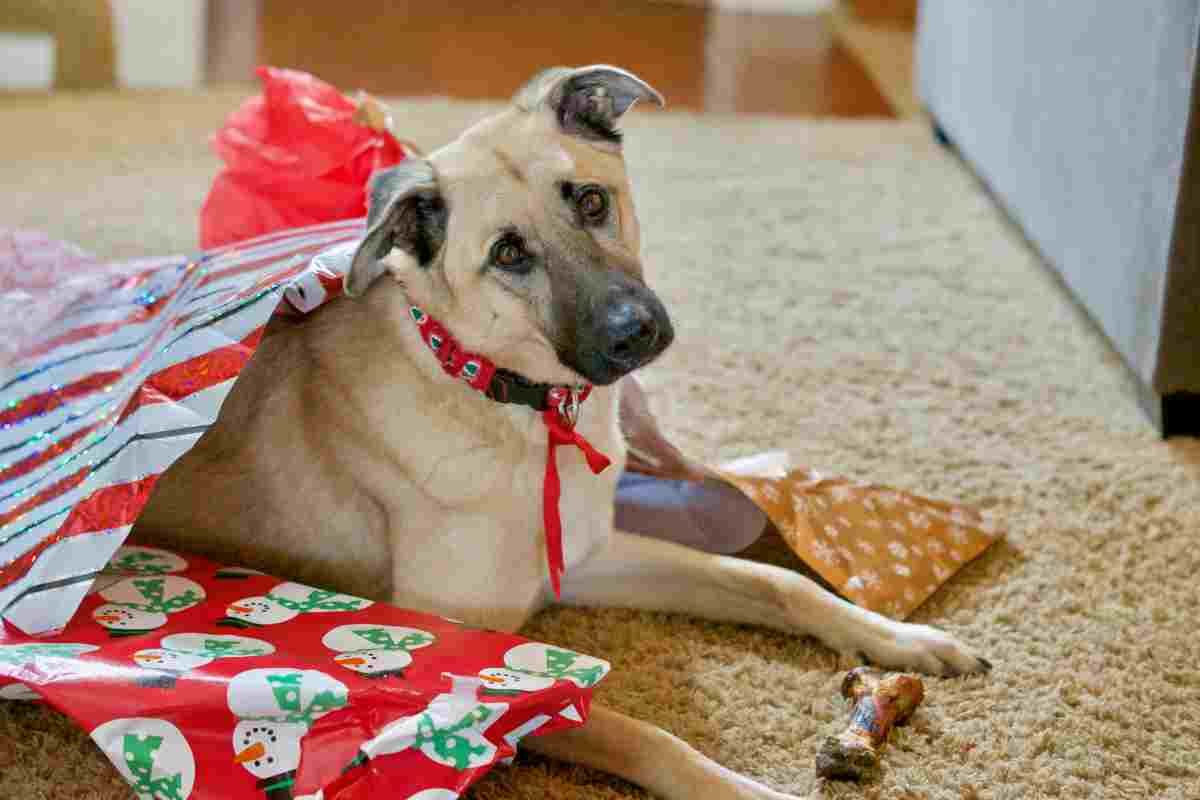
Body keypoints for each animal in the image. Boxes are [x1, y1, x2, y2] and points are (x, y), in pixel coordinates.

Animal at [133, 64, 993, 800]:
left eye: (590, 200)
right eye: (509, 252)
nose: (636, 331)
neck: (515, 406)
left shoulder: (583, 558)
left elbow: (770, 581)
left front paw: (903, 638)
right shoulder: (479, 673)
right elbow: (637, 732)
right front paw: (740, 787)